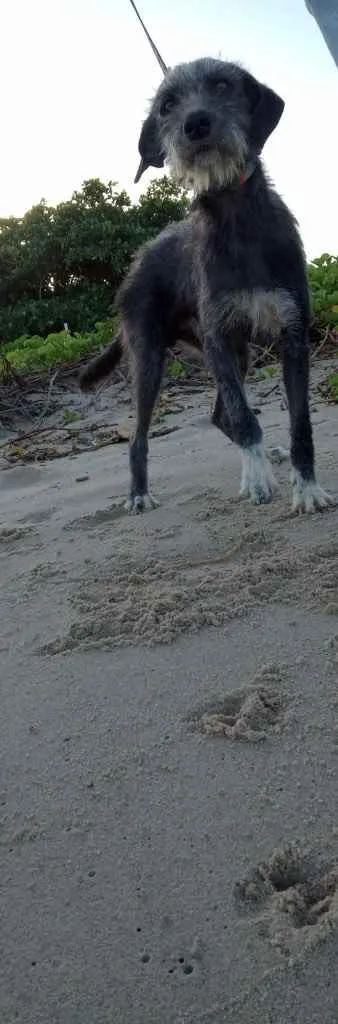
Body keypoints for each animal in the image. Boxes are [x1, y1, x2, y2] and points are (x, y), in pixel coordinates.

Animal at [80, 59, 331, 516]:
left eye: (222, 84)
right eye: (166, 105)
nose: (196, 124)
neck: (237, 217)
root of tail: (135, 265)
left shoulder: (292, 332)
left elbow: (299, 421)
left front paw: (305, 486)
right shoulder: (218, 338)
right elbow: (243, 414)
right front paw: (256, 476)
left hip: (239, 352)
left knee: (217, 414)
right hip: (150, 359)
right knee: (140, 436)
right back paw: (139, 492)